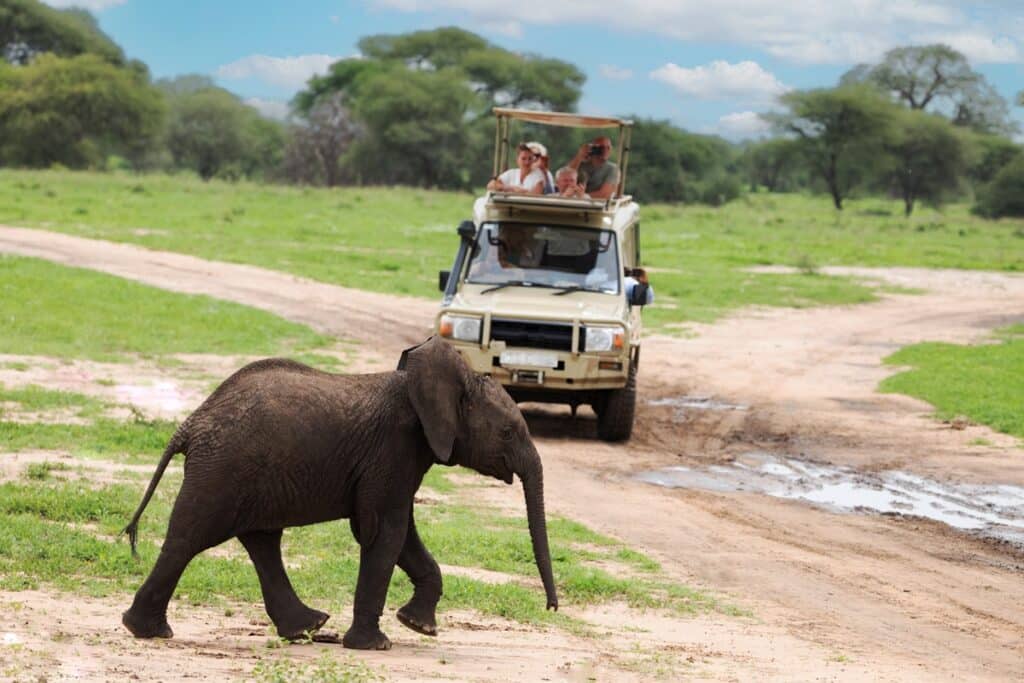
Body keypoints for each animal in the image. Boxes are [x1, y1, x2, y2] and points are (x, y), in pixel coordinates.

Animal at [122, 339, 557, 651]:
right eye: (508, 433)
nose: (552, 607)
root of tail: (191, 422)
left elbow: (400, 533)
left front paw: (418, 626)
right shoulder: (392, 451)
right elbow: (384, 532)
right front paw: (376, 645)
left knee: (262, 542)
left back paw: (309, 629)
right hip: (222, 469)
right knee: (190, 538)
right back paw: (149, 631)